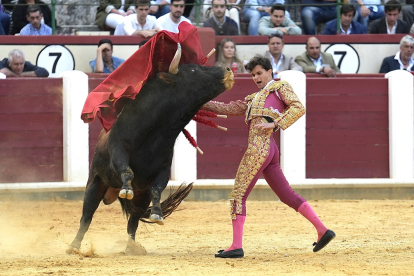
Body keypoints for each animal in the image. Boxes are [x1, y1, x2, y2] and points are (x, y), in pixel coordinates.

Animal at [68, 48, 236, 253]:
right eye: (193, 70)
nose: (228, 70)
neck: (155, 132)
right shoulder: (118, 151)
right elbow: (127, 170)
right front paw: (126, 189)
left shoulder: (163, 169)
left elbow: (157, 188)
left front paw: (157, 214)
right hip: (95, 182)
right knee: (87, 216)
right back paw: (74, 246)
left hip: (141, 197)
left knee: (133, 221)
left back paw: (131, 248)